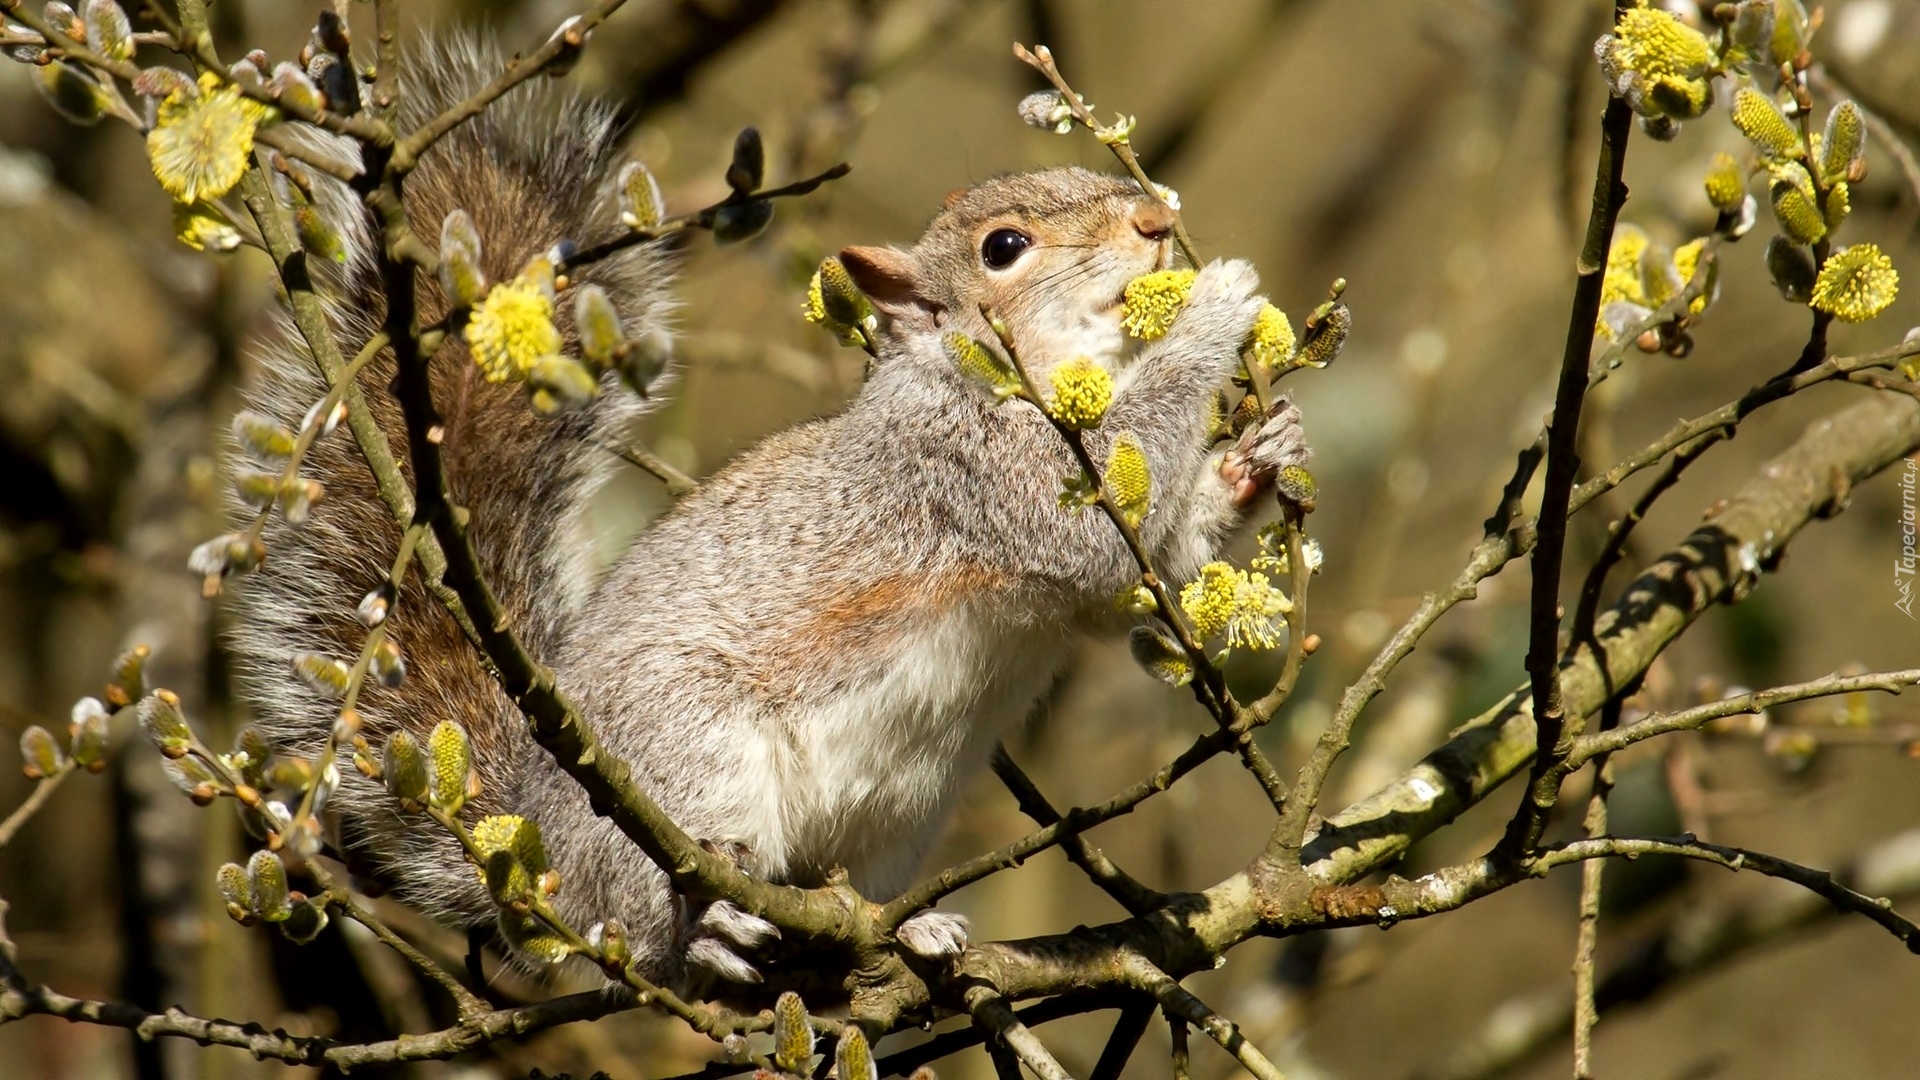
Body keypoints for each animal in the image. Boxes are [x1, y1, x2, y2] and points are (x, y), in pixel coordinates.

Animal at [224, 35, 1305, 991]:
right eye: (1005, 248)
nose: (1155, 221)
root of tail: (537, 858)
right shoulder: (968, 472)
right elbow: (1095, 525)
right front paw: (1214, 307)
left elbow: (1143, 578)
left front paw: (1260, 457)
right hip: (689, 764)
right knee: (645, 932)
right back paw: (703, 939)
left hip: (890, 825)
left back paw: (914, 933)